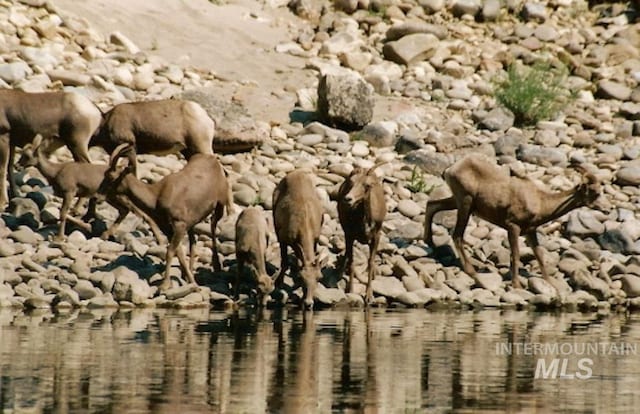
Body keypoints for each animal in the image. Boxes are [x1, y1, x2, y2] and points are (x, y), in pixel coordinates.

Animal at [99, 142, 231, 288]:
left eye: (110, 177)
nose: (99, 195)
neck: (156, 196)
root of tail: (214, 160)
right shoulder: (168, 228)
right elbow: (179, 253)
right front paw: (190, 281)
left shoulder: (179, 225)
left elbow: (170, 252)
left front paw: (165, 285)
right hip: (192, 222)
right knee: (193, 241)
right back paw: (190, 271)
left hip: (220, 203)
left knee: (213, 225)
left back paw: (217, 265)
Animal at [272, 169, 324, 308]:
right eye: (301, 277)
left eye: (319, 278)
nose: (308, 303)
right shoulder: (283, 238)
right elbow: (284, 262)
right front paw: (278, 283)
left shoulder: (315, 238)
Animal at [338, 164, 388, 304]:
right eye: (351, 182)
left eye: (367, 185)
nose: (348, 199)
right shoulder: (349, 235)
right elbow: (352, 261)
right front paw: (350, 290)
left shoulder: (376, 237)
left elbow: (370, 262)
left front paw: (369, 296)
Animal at [424, 153, 600, 288]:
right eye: (594, 192)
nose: (601, 208)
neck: (541, 202)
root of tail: (451, 169)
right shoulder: (512, 227)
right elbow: (515, 255)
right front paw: (517, 285)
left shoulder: (530, 231)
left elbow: (539, 255)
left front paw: (550, 283)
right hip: (465, 203)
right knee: (457, 235)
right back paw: (472, 271)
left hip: (458, 201)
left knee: (432, 205)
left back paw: (430, 243)